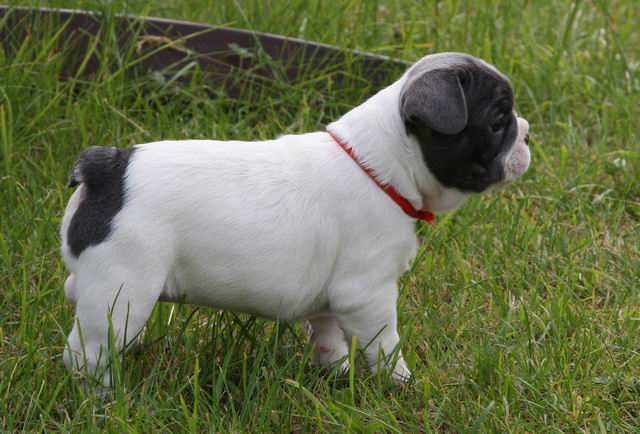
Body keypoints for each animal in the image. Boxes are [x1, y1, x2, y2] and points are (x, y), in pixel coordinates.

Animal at [60, 51, 528, 386]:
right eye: (498, 122)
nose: (527, 132)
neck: (380, 166)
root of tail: (106, 168)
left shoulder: (331, 303)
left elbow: (329, 339)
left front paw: (335, 378)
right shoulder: (367, 294)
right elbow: (385, 345)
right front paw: (401, 384)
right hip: (123, 290)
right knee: (88, 350)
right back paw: (101, 395)